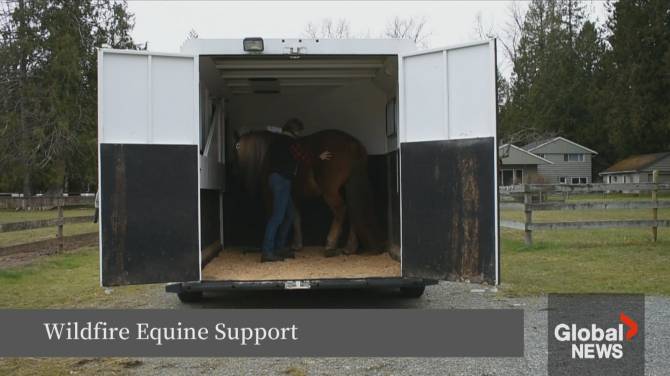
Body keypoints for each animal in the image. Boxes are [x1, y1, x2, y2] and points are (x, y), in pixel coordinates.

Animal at [234, 128, 386, 258]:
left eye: (237, 148)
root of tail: (353, 144)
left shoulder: (270, 196)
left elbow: (272, 218)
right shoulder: (292, 196)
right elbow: (295, 217)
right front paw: (297, 245)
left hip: (330, 191)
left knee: (340, 210)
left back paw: (330, 245)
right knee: (354, 211)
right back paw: (350, 248)